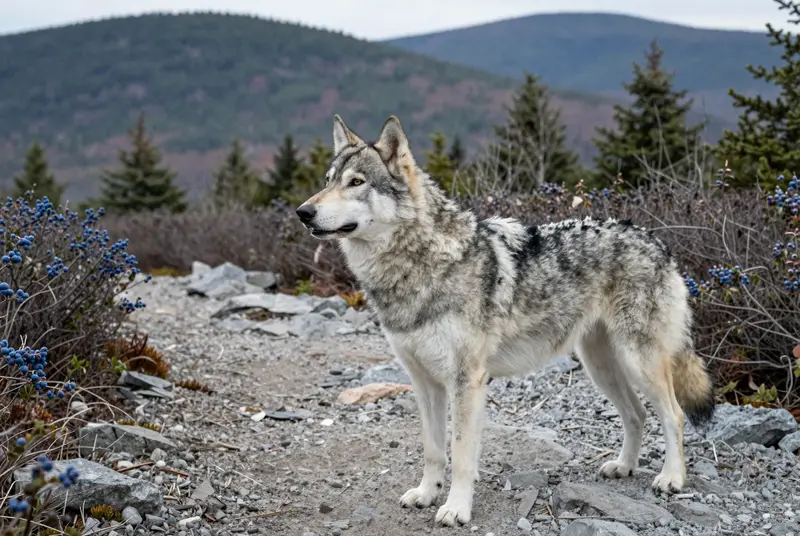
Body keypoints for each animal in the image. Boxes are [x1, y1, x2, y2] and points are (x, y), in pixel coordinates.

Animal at [294, 114, 715, 527]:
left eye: (356, 182)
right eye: (328, 180)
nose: (303, 212)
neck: (418, 266)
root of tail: (654, 239)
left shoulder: (467, 381)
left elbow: (461, 454)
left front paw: (456, 508)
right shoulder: (424, 382)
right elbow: (433, 450)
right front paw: (427, 493)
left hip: (637, 362)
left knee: (674, 415)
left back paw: (671, 478)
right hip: (601, 367)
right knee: (637, 414)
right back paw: (624, 466)